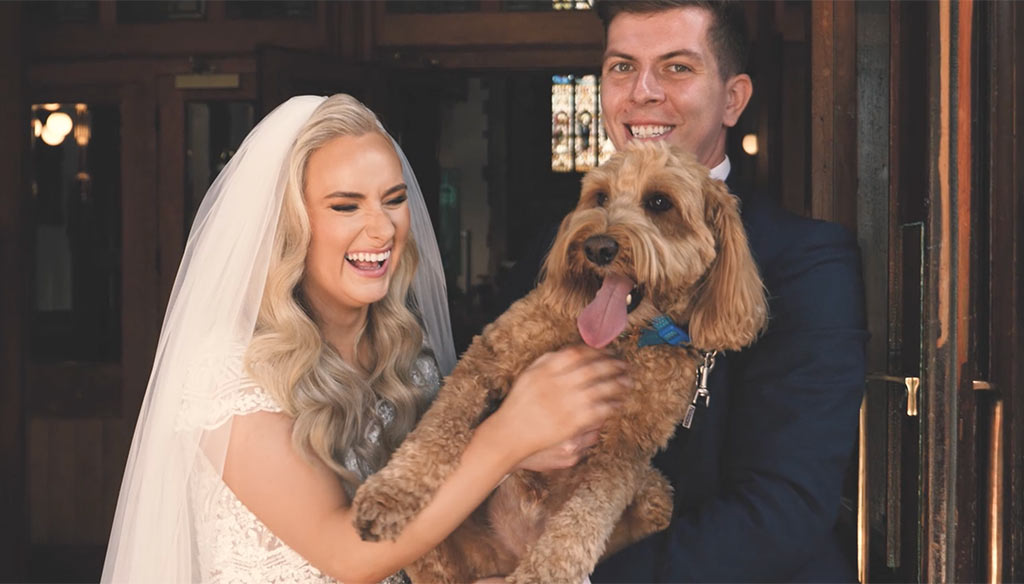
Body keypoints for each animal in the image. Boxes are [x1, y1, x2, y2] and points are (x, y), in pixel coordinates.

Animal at [356, 142, 765, 581]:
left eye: (660, 202)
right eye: (599, 197)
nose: (597, 247)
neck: (624, 340)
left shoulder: (627, 448)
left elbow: (586, 513)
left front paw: (546, 570)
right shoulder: (490, 356)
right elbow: (438, 428)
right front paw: (390, 493)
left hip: (657, 493)